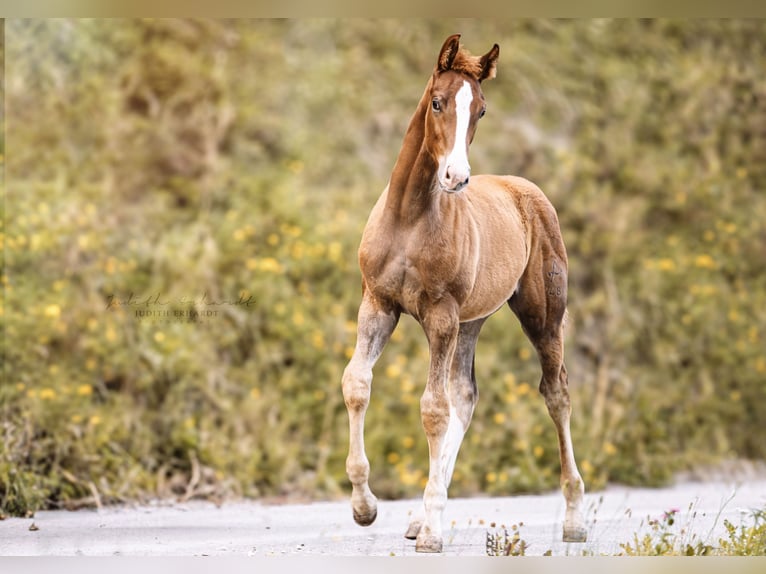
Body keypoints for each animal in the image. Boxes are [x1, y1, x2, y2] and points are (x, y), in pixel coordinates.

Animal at [342, 35, 588, 552]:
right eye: (437, 102)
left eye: (481, 110)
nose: (456, 177)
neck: (410, 217)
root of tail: (528, 190)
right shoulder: (378, 304)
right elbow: (357, 383)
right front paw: (364, 507)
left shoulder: (440, 315)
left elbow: (433, 409)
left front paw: (433, 534)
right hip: (471, 321)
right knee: (467, 395)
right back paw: (418, 516)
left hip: (540, 315)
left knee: (556, 392)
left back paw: (575, 518)